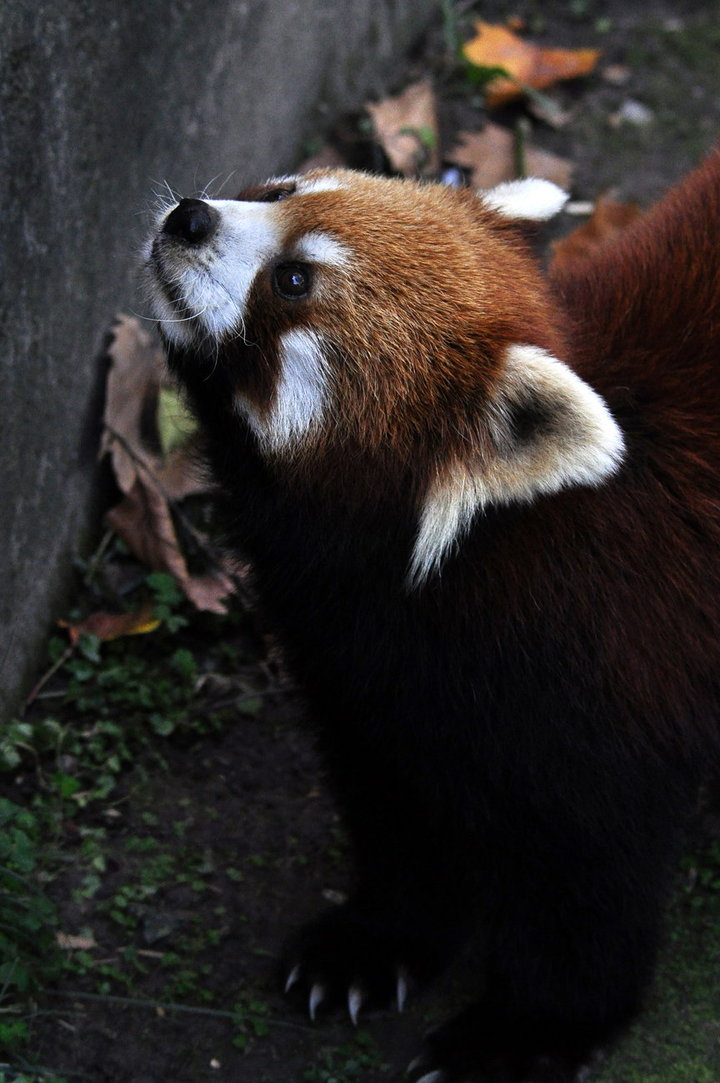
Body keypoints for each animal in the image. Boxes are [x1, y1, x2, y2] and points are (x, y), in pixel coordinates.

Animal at [142, 154, 718, 1083]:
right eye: (276, 191)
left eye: (294, 280)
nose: (189, 217)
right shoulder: (359, 666)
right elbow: (400, 803)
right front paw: (375, 940)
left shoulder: (623, 664)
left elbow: (591, 880)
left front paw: (523, 1029)